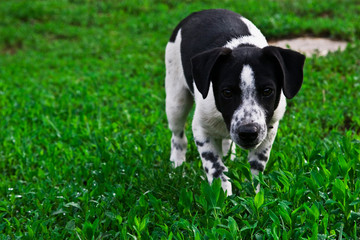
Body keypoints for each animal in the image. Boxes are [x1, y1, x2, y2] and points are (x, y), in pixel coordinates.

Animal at [165, 9, 306, 197]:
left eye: (267, 91)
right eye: (227, 92)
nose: (248, 132)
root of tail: (200, 11)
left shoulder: (270, 127)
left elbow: (257, 165)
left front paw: (253, 193)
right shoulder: (201, 129)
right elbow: (215, 166)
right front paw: (223, 194)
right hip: (176, 100)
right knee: (178, 137)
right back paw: (176, 166)